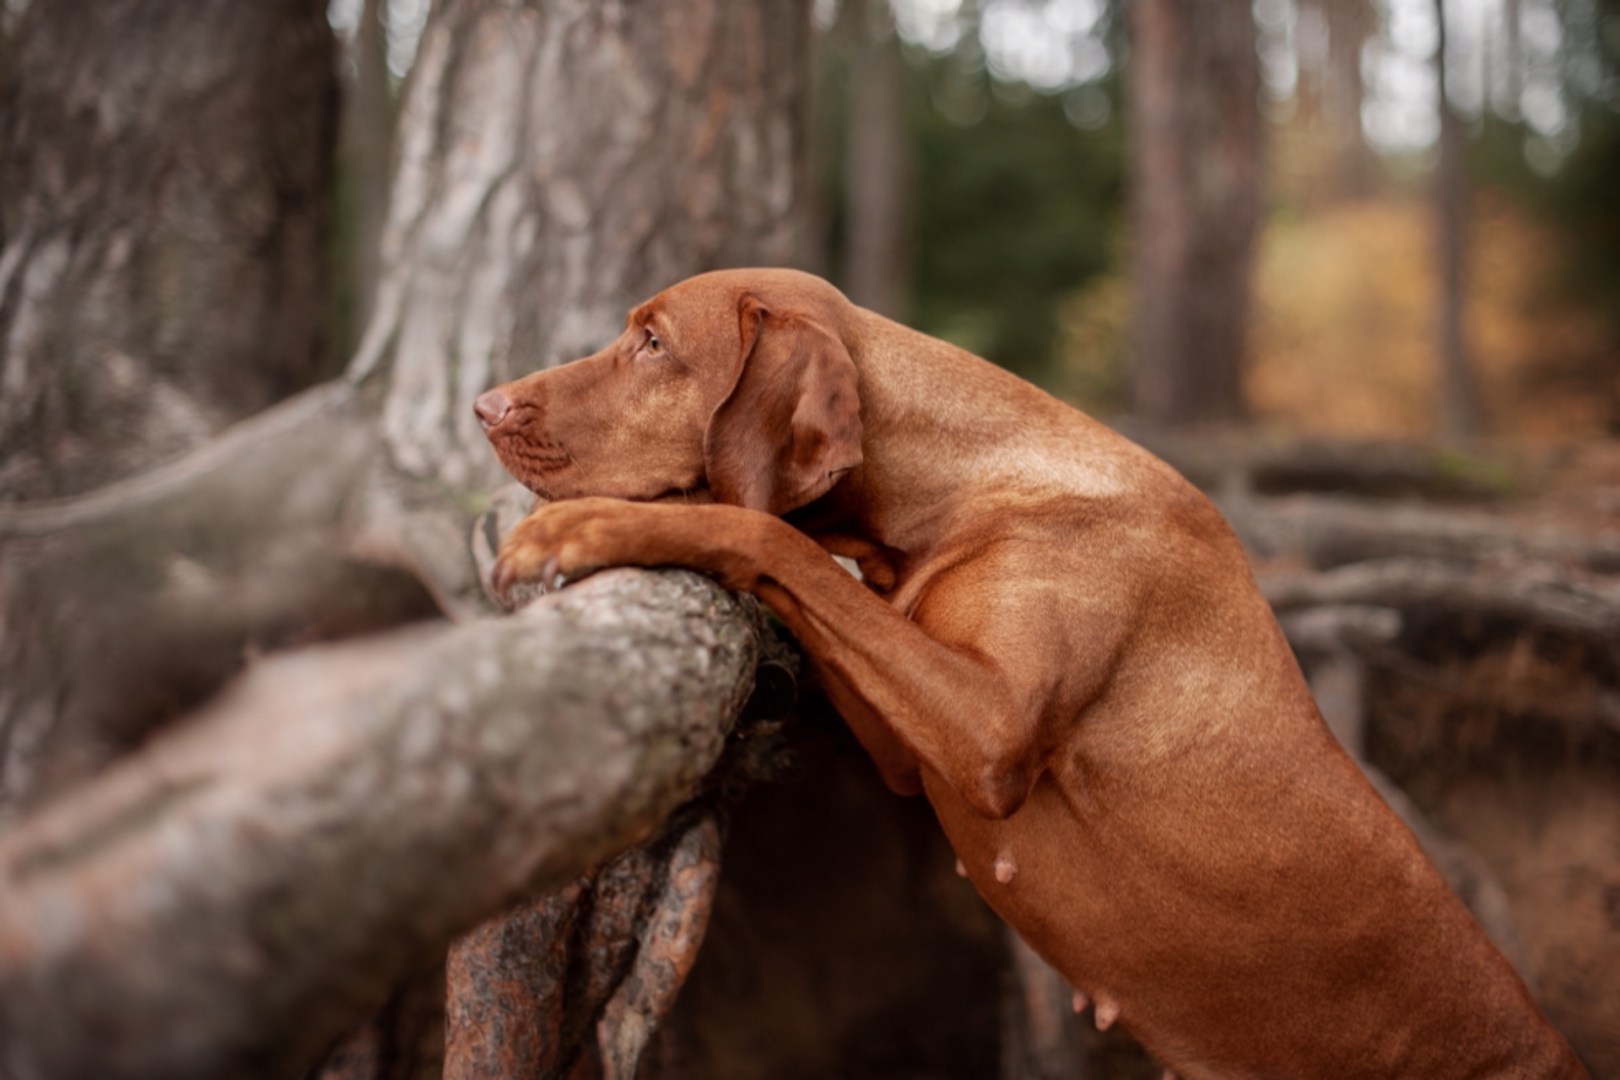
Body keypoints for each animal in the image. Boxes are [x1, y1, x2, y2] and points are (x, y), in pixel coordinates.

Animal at [473, 270, 1581, 1080]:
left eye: (654, 343)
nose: (484, 404)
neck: (970, 488)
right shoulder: (911, 746)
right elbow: (804, 572)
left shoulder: (991, 733)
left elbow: (763, 531)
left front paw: (589, 526)